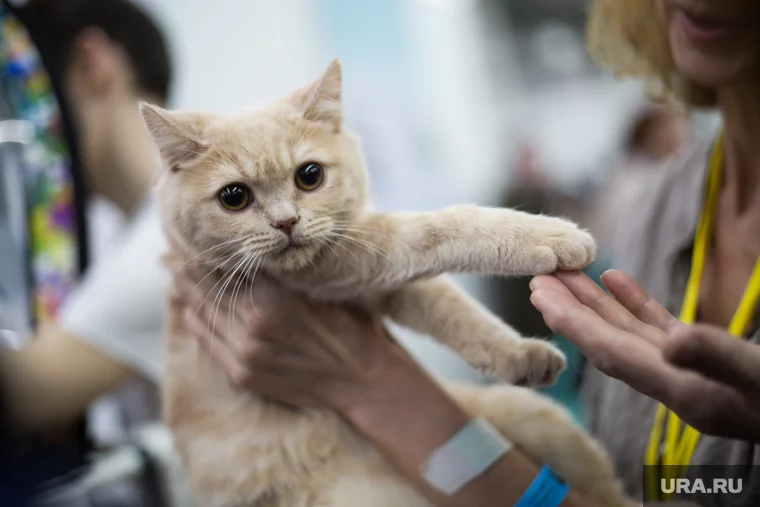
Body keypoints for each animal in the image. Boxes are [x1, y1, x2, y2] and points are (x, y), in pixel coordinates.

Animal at [145, 60, 632, 507]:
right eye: (234, 196)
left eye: (309, 175)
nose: (286, 222)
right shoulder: (344, 262)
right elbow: (439, 228)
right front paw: (545, 236)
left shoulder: (372, 278)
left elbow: (450, 307)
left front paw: (517, 353)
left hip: (535, 418)